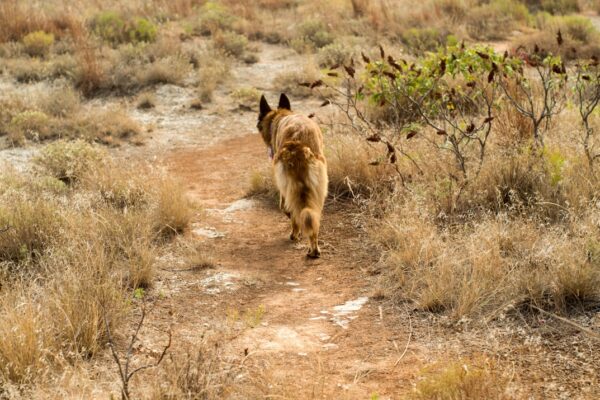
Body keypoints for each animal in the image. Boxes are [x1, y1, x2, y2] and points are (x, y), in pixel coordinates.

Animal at [257, 93, 328, 258]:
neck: (281, 116)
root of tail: (298, 143)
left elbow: (286, 209)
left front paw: (296, 232)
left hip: (288, 185)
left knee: (296, 211)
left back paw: (298, 236)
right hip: (318, 190)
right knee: (312, 216)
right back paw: (314, 250)